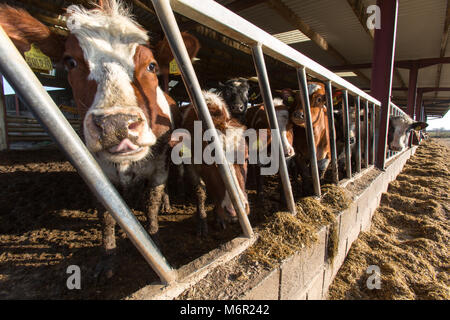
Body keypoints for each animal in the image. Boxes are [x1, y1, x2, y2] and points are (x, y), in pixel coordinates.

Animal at [0, 0, 199, 280]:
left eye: (150, 65)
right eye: (70, 62)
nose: (116, 124)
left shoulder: (159, 167)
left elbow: (151, 203)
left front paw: (157, 243)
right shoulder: (96, 174)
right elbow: (108, 215)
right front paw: (107, 259)